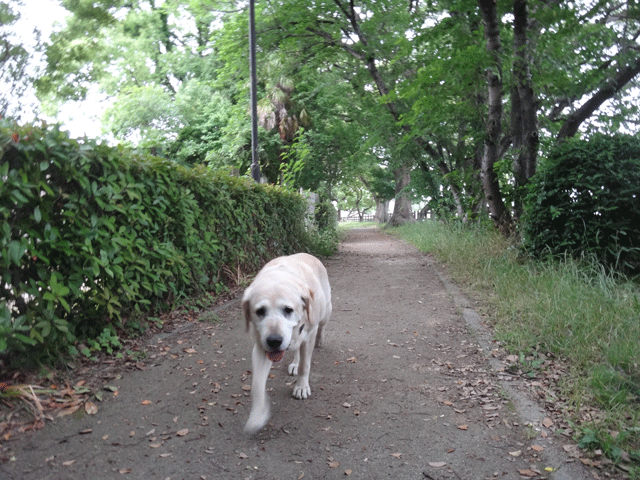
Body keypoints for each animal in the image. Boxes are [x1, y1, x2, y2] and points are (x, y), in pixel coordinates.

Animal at [241, 253, 336, 434]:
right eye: (260, 311)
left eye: (288, 310)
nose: (274, 341)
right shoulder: (260, 348)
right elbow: (257, 384)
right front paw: (258, 415)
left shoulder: (309, 335)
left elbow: (305, 366)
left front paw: (301, 387)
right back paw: (294, 363)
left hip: (326, 310)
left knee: (322, 326)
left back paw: (320, 340)